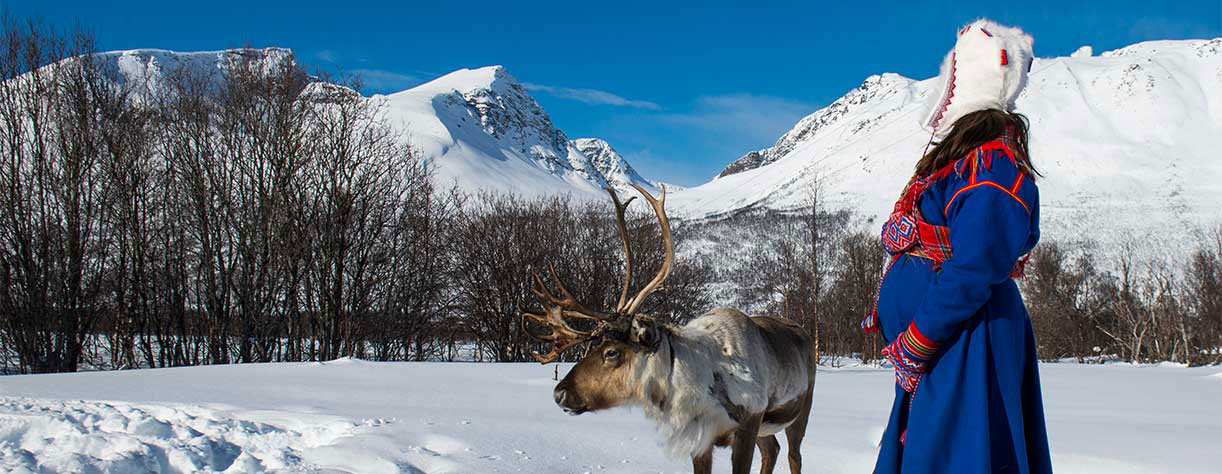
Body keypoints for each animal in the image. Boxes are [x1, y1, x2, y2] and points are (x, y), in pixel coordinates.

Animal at [521, 184, 817, 474]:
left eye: (611, 352)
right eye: (593, 346)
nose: (559, 393)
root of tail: (803, 330)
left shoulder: (748, 422)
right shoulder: (701, 439)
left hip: (800, 411)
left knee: (793, 455)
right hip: (767, 429)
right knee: (772, 450)